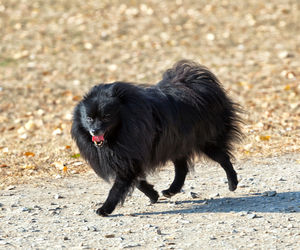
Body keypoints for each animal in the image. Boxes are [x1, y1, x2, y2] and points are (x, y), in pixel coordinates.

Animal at [71, 59, 243, 216]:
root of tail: (198, 84)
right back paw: (171, 190)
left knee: (223, 158)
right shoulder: (128, 158)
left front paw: (105, 208)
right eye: (89, 118)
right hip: (176, 143)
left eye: (106, 117)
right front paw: (153, 195)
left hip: (205, 141)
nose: (94, 131)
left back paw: (232, 183)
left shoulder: (130, 156)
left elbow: (119, 186)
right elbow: (137, 181)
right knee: (182, 168)